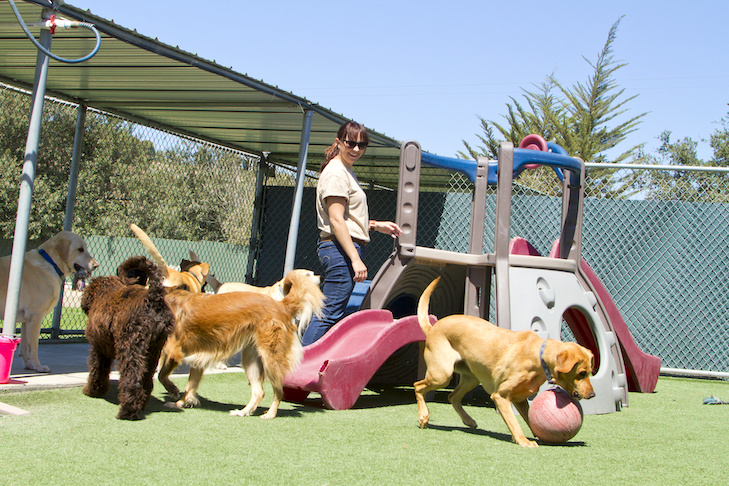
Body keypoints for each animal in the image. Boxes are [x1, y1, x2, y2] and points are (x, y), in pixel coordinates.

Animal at [0, 232, 98, 372]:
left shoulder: (26, 320)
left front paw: (29, 365)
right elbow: (33, 347)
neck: (51, 263)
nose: (96, 265)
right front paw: (38, 366)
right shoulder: (35, 317)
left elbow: (24, 348)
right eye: (80, 249)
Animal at [81, 256, 175, 420]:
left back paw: (127, 411)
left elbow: (97, 370)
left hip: (130, 347)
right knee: (147, 381)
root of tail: (153, 298)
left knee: (132, 379)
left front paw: (92, 391)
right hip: (153, 351)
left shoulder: (98, 348)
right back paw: (141, 405)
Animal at [158, 270, 322, 418]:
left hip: (270, 359)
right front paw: (180, 403)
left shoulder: (174, 352)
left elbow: (162, 375)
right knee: (259, 392)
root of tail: (281, 305)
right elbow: (189, 387)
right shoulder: (197, 360)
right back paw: (243, 412)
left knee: (278, 391)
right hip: (251, 360)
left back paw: (270, 414)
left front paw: (173, 391)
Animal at [412, 278, 596, 448]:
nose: (593, 395)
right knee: (418, 386)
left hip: (471, 378)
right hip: (442, 375)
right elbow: (514, 422)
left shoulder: (520, 399)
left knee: (453, 396)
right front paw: (523, 441)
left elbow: (529, 420)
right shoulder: (501, 396)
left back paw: (468, 420)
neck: (537, 355)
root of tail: (433, 328)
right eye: (581, 373)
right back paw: (423, 417)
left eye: (589, 372)